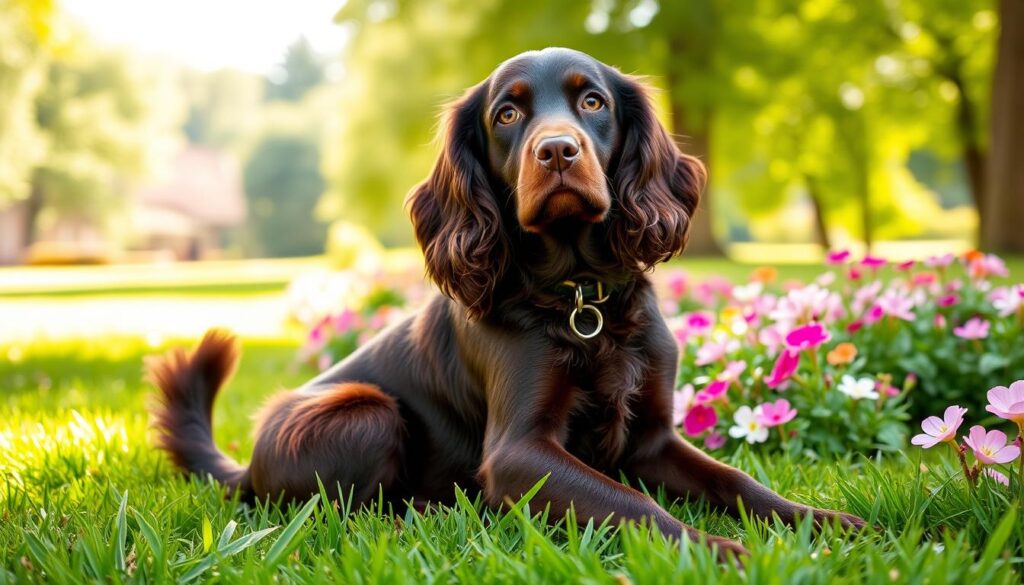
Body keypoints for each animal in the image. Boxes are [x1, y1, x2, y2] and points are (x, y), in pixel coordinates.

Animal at [149, 48, 864, 561]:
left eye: (593, 101)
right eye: (507, 115)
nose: (557, 150)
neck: (580, 298)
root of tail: (245, 466)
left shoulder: (654, 439)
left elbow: (738, 482)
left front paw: (825, 523)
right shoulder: (520, 453)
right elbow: (634, 506)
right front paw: (724, 552)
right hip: (364, 412)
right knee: (341, 511)